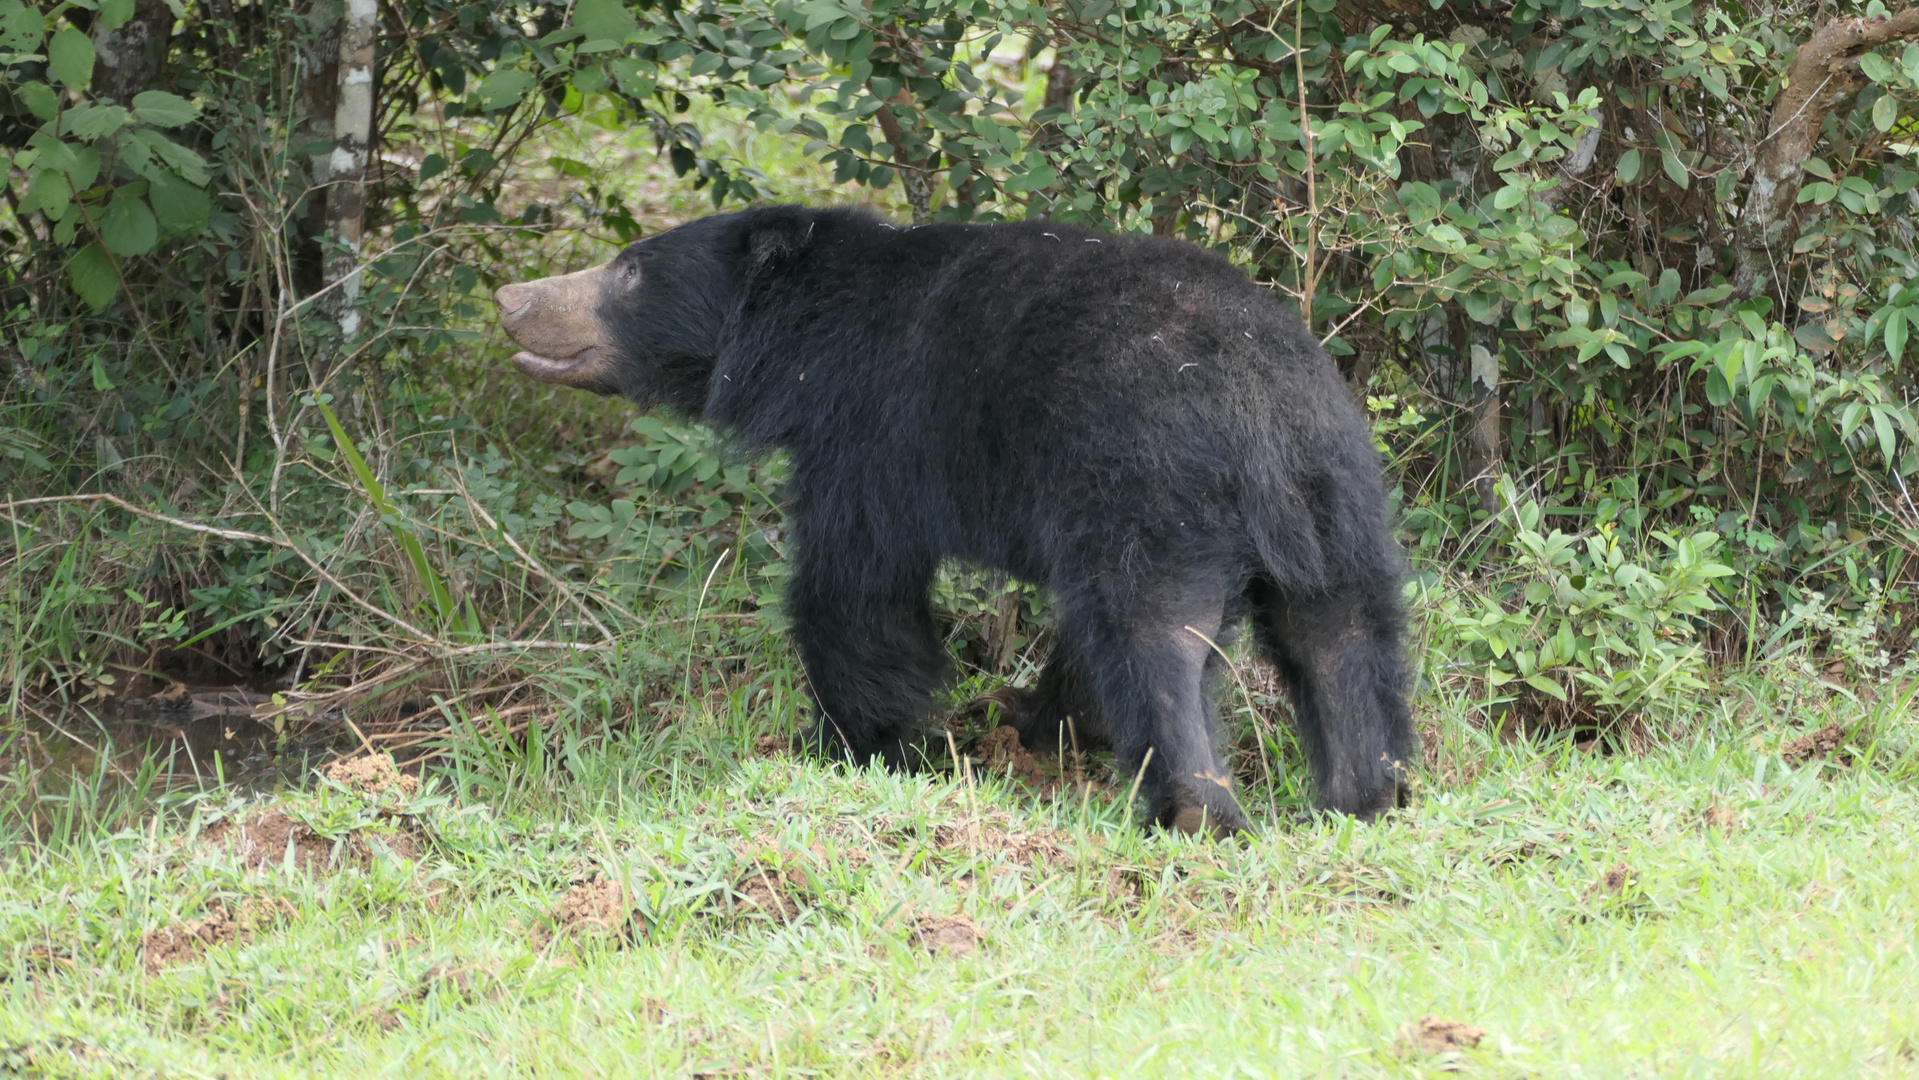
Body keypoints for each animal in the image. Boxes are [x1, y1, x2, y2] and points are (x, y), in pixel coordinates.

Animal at [502, 207, 1420, 840]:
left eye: (626, 272)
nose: (511, 297)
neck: (808, 339)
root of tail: (1256, 398)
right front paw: (1030, 722)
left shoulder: (871, 438)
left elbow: (857, 597)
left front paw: (853, 746)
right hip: (1337, 499)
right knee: (1338, 634)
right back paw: (1367, 794)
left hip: (1149, 481)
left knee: (1156, 635)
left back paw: (1193, 810)